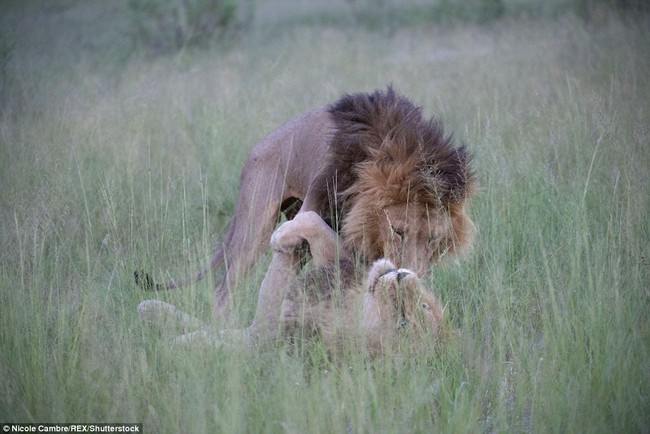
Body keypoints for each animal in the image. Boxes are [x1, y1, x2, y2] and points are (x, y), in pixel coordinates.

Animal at [136, 211, 440, 356]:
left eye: (403, 323)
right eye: (427, 304)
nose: (402, 275)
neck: (350, 308)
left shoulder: (268, 338)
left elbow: (220, 340)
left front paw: (175, 346)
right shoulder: (338, 269)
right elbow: (316, 225)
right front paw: (282, 233)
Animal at [137, 87, 474, 318]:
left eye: (434, 239)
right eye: (399, 230)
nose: (412, 274)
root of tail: (256, 149)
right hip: (254, 228)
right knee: (225, 288)